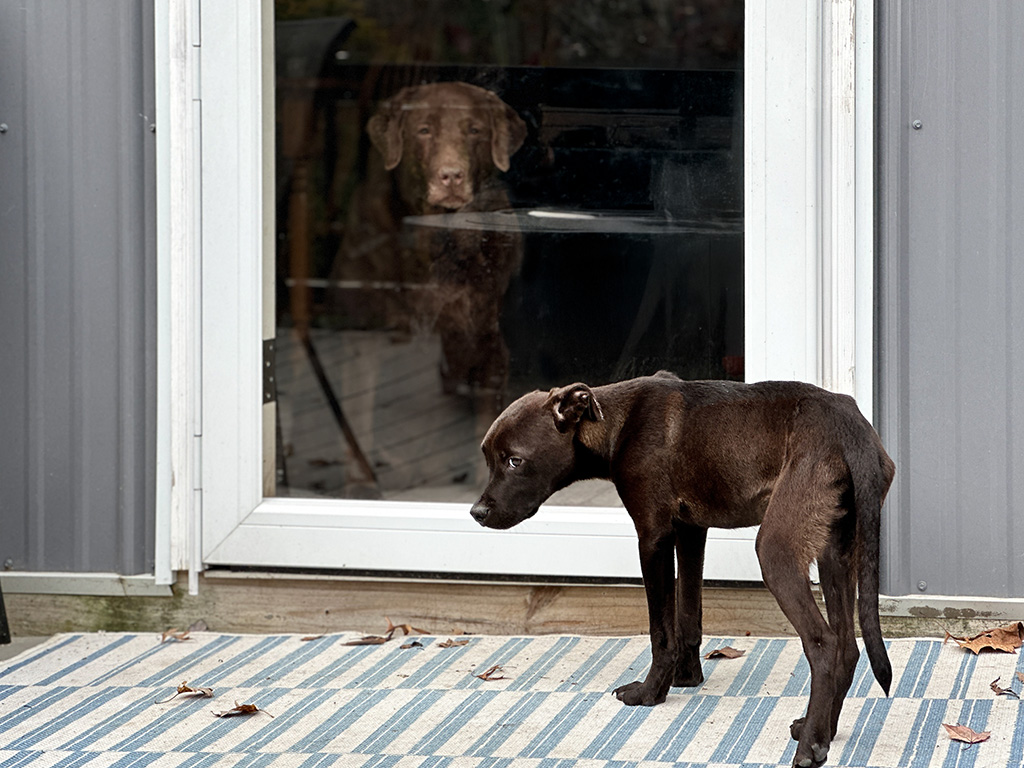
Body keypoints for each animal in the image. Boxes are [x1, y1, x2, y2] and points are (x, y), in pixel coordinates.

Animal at [468, 370, 892, 765]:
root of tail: (852, 430)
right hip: (835, 551)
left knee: (824, 645)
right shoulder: (690, 530)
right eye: (489, 457)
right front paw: (687, 677)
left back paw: (811, 748)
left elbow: (661, 629)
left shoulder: (653, 536)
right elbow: (688, 614)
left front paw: (650, 692)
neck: (618, 423)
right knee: (847, 647)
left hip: (777, 551)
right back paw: (822, 731)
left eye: (515, 460)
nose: (477, 513)